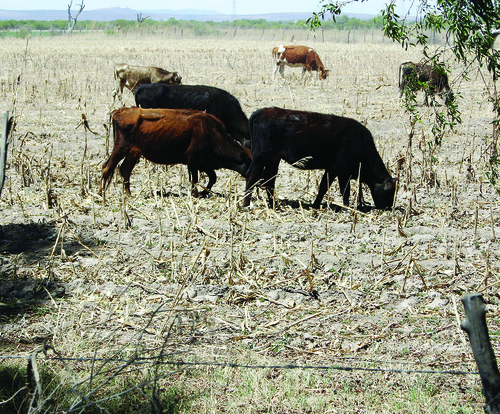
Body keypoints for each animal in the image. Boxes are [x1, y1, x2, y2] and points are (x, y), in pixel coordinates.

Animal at [99, 107, 252, 198]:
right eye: (251, 163)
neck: (211, 132)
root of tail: (121, 111)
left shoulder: (205, 163)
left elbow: (212, 178)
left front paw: (203, 192)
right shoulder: (192, 159)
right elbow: (195, 179)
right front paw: (196, 194)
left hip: (133, 152)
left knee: (125, 170)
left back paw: (128, 195)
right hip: (121, 148)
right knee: (107, 167)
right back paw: (101, 193)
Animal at [243, 107, 397, 211]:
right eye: (389, 192)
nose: (388, 207)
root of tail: (261, 112)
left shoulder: (332, 169)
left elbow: (323, 187)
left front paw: (315, 205)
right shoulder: (343, 171)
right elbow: (345, 190)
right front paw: (347, 207)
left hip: (273, 159)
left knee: (270, 181)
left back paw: (272, 205)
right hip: (261, 157)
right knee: (253, 177)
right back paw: (246, 204)